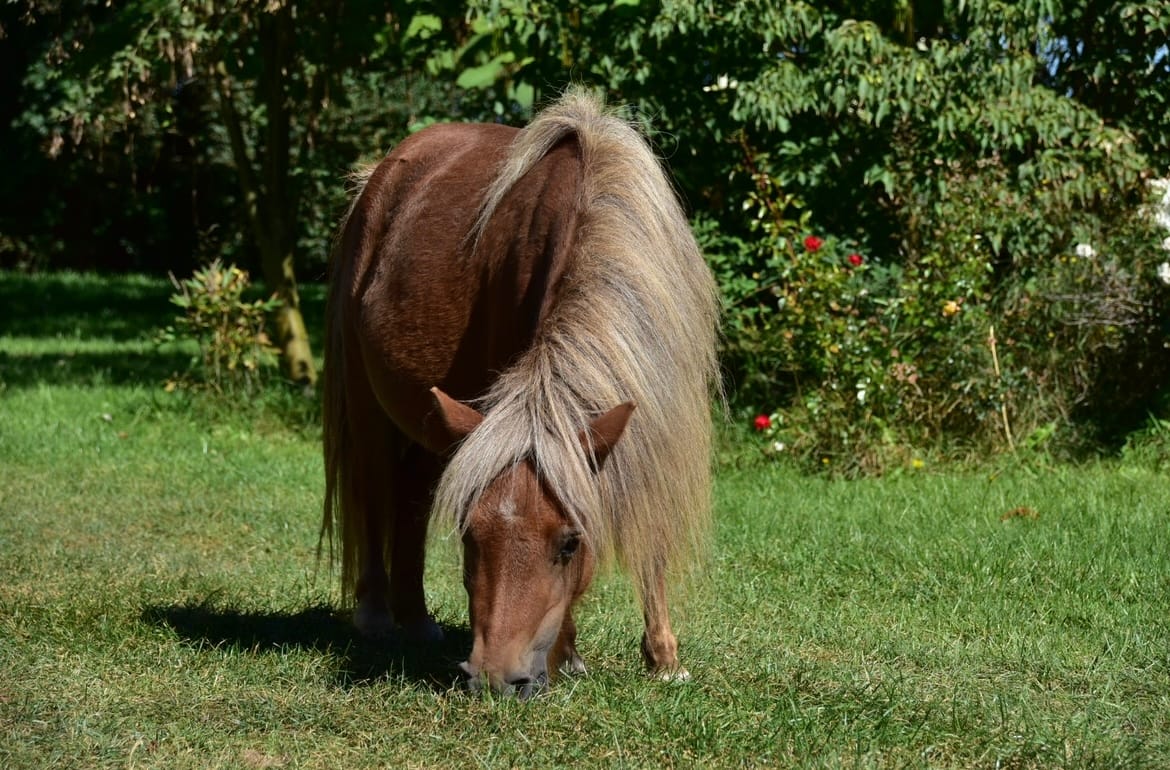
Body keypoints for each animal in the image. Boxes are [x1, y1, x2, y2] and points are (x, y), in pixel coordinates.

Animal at [321, 89, 720, 697]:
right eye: (469, 536)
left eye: (570, 542)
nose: (493, 678)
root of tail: (385, 172)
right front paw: (571, 654)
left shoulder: (658, 419)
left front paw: (664, 659)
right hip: (370, 406)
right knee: (373, 491)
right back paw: (377, 617)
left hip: (435, 421)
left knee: (410, 499)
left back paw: (417, 620)